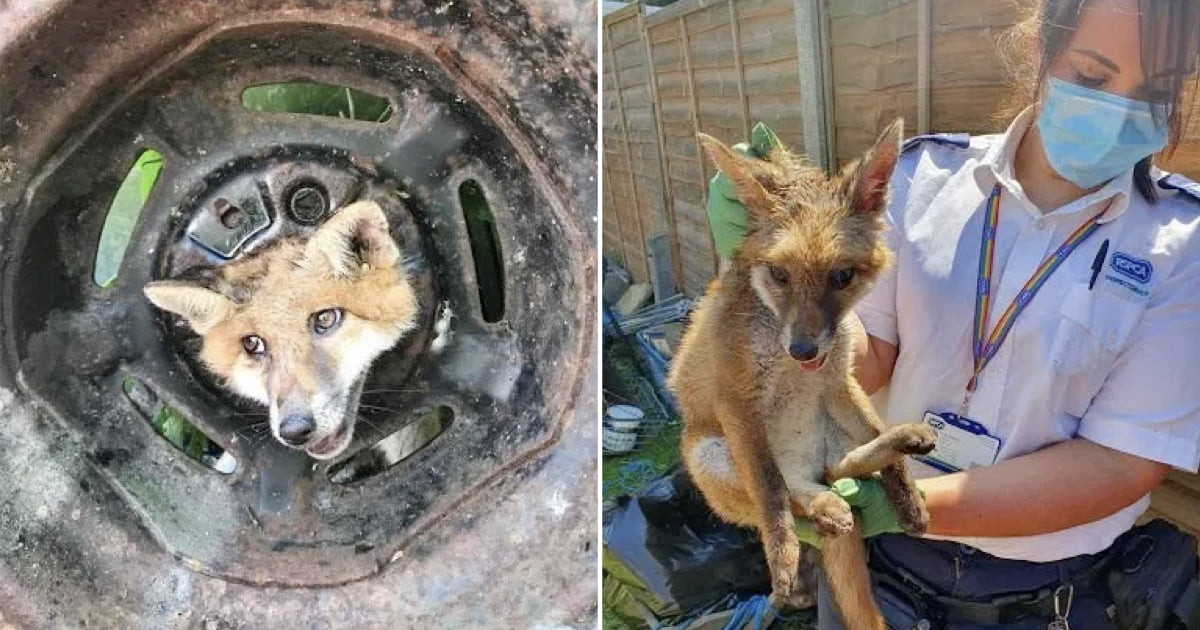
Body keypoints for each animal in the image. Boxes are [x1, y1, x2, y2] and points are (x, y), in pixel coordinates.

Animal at [667, 120, 937, 629]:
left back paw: (903, 442)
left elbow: (878, 446)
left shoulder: (837, 382)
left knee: (845, 467)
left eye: (842, 276)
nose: (803, 350)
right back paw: (826, 509)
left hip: (832, 430)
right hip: (709, 453)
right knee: (797, 495)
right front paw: (783, 561)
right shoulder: (738, 402)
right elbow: (772, 496)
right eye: (779, 274)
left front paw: (908, 496)